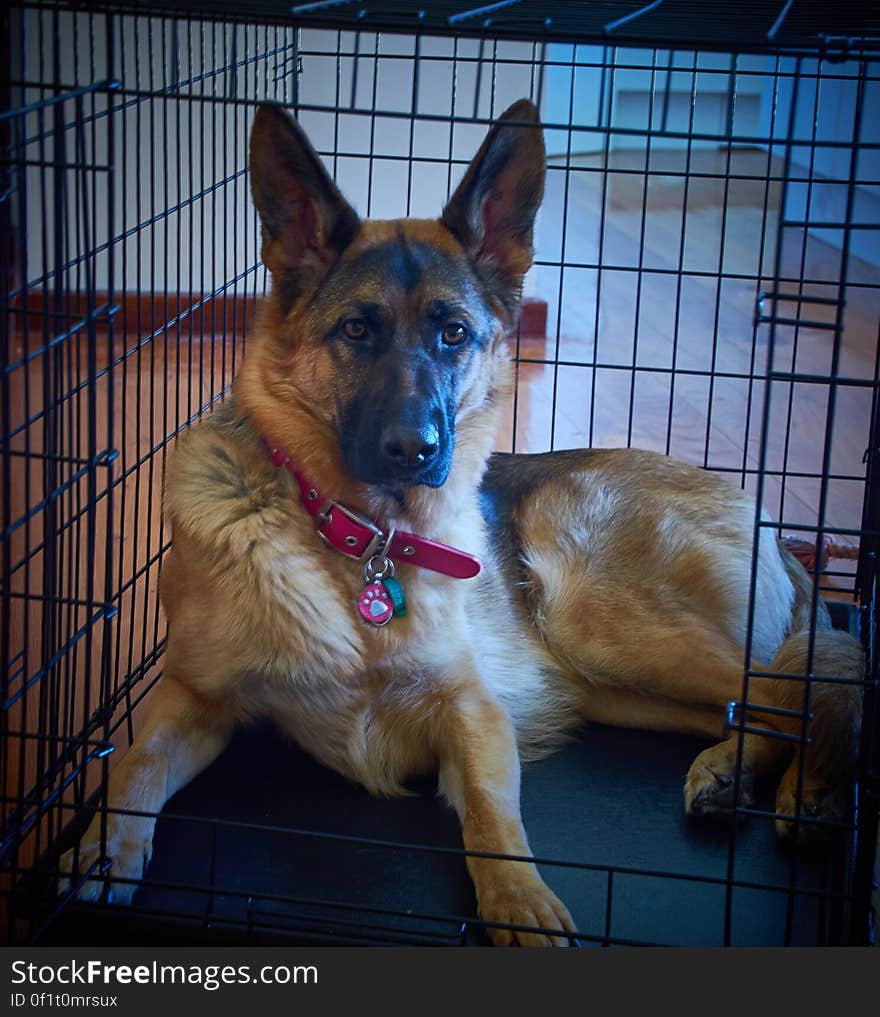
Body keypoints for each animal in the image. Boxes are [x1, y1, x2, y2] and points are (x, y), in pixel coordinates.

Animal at [63, 99, 866, 939]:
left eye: (454, 333)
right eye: (356, 330)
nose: (414, 450)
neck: (360, 539)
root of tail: (769, 517)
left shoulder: (473, 712)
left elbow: (489, 817)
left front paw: (520, 898)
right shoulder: (193, 695)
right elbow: (134, 765)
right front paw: (103, 849)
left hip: (595, 609)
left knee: (810, 681)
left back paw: (805, 789)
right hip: (623, 685)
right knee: (773, 697)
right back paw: (749, 776)